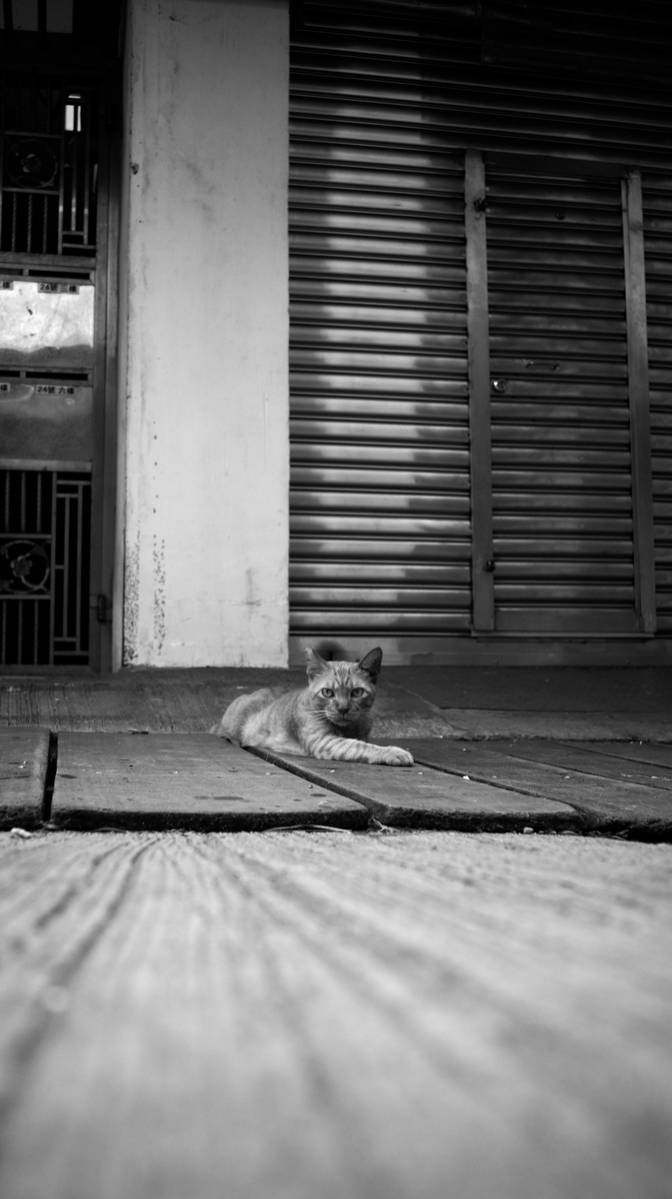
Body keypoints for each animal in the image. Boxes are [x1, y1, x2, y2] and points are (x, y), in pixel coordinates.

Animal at [210, 643, 414, 766]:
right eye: (328, 692)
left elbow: (363, 742)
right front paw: (395, 752)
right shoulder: (324, 741)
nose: (343, 708)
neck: (349, 728)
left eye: (357, 692)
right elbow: (360, 746)